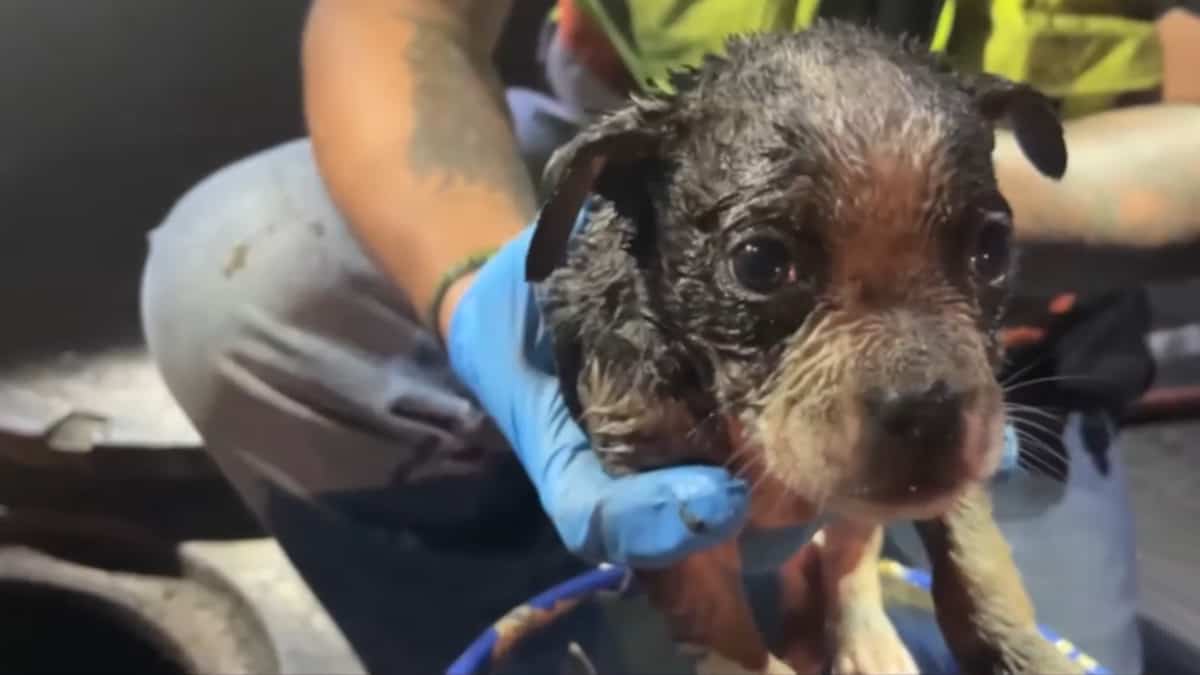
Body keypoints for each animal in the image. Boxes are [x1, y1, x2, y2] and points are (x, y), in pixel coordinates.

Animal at [525, 21, 1080, 672]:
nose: (929, 411)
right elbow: (727, 632)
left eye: (990, 251)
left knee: (848, 555)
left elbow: (971, 563)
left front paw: (1021, 649)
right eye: (760, 263)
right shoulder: (662, 504)